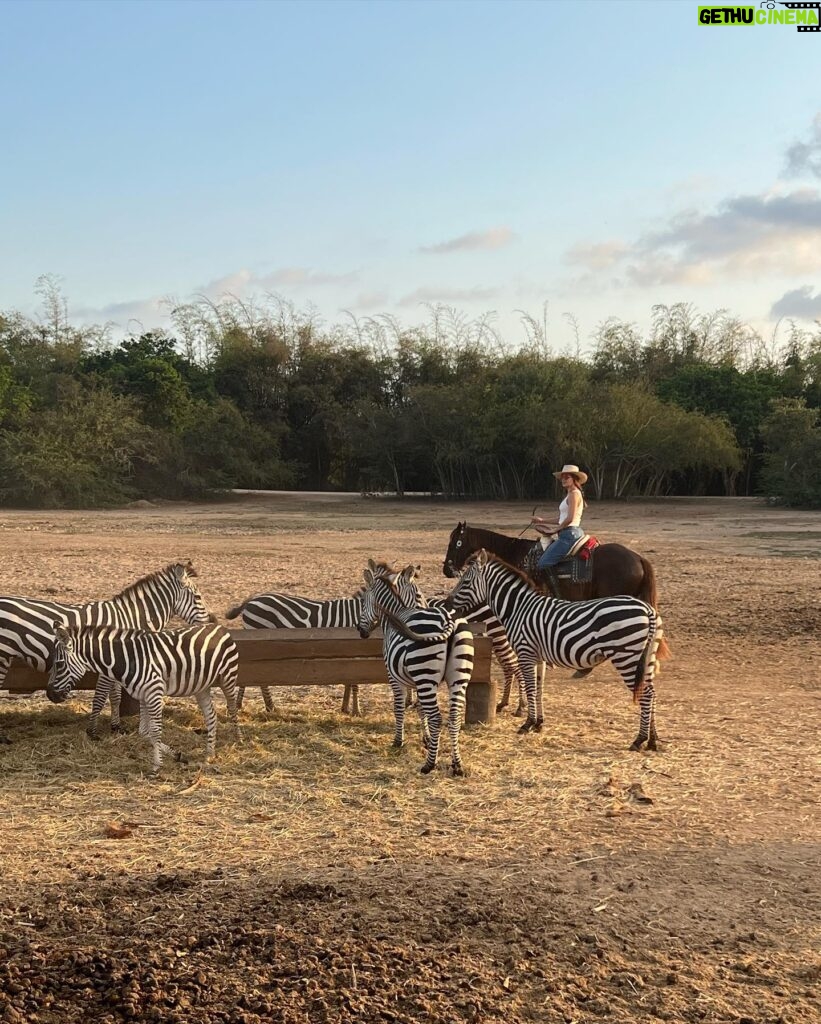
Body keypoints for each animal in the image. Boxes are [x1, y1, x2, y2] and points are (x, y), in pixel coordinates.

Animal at [0, 565, 213, 741]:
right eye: (198, 598)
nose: (210, 624)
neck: (130, 618)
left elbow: (115, 697)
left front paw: (116, 727)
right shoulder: (107, 664)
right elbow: (101, 697)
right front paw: (92, 732)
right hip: (2, 656)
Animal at [46, 622, 239, 774]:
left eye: (59, 664)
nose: (50, 695)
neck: (128, 659)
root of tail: (219, 626)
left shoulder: (154, 693)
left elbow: (155, 731)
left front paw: (156, 767)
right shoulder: (144, 696)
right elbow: (145, 733)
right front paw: (176, 755)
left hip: (228, 678)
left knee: (232, 708)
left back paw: (238, 739)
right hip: (201, 687)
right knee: (211, 716)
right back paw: (209, 754)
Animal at [356, 561, 472, 774]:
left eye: (362, 602)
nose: (361, 631)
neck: (397, 612)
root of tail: (448, 621)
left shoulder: (394, 676)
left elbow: (399, 707)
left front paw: (398, 741)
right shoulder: (417, 680)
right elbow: (420, 708)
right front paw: (427, 739)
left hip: (426, 674)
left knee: (437, 718)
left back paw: (429, 764)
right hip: (458, 678)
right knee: (454, 718)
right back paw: (457, 764)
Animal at [442, 552, 663, 753]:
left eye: (466, 582)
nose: (446, 605)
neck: (518, 608)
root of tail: (648, 609)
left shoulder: (526, 652)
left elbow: (531, 688)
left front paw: (527, 724)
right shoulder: (538, 656)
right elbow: (539, 688)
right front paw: (539, 723)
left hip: (627, 656)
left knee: (645, 693)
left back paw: (639, 740)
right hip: (647, 658)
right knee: (652, 692)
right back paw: (652, 740)